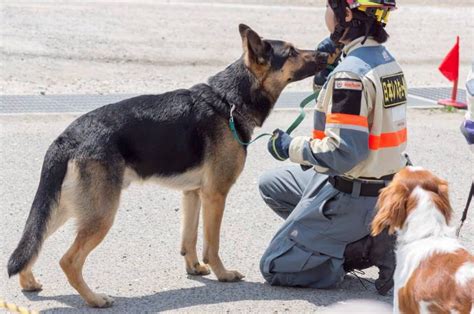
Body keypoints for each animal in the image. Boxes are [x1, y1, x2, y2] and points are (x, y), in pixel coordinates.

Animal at [6, 23, 330, 306]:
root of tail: (67, 137)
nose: (325, 53)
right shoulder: (216, 195)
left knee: (32, 241)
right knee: (68, 260)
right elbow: (212, 243)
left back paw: (28, 281)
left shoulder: (193, 194)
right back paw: (95, 299)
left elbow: (190, 238)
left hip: (66, 208)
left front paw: (195, 268)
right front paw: (222, 274)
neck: (229, 99)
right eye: (291, 52)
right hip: (101, 214)